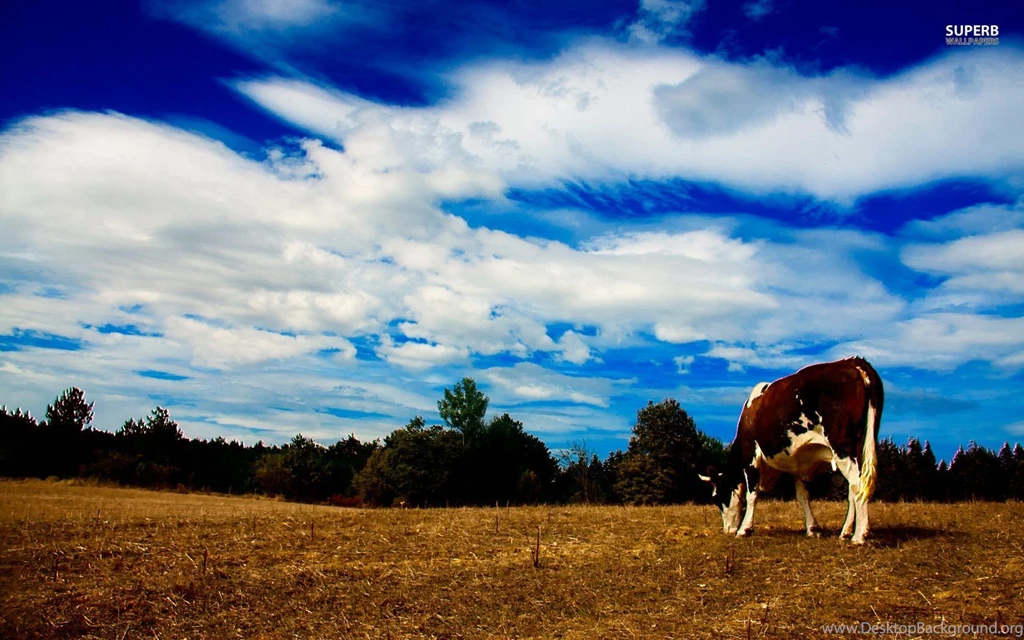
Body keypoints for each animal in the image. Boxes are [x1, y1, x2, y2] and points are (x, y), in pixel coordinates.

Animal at [699, 357, 883, 544]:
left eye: (716, 498)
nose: (727, 530)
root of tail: (852, 362)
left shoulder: (751, 458)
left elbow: (752, 496)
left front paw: (744, 529)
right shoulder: (799, 464)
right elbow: (803, 497)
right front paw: (812, 529)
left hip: (842, 447)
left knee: (857, 485)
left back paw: (859, 536)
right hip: (860, 447)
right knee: (854, 489)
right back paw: (845, 532)